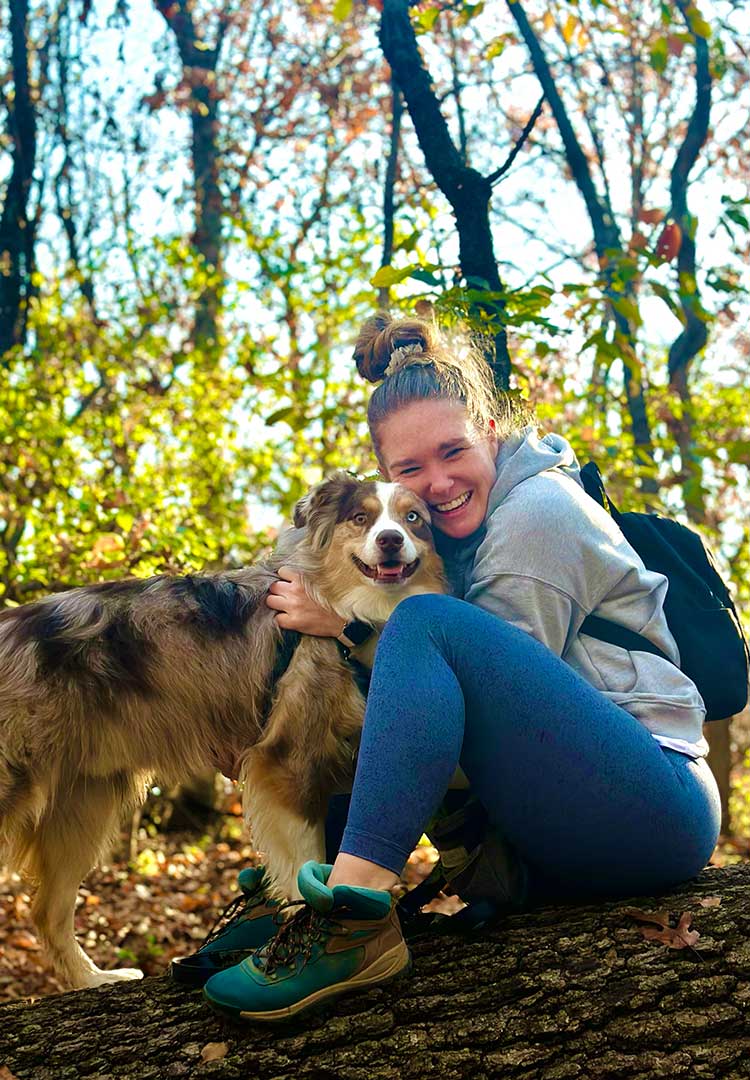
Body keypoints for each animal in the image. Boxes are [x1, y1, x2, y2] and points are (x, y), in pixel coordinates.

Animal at [0, 472, 445, 989]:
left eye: (413, 518)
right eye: (361, 518)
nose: (390, 540)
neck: (349, 612)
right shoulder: (286, 761)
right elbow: (304, 863)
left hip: (83, 806)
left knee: (48, 911)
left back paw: (95, 979)